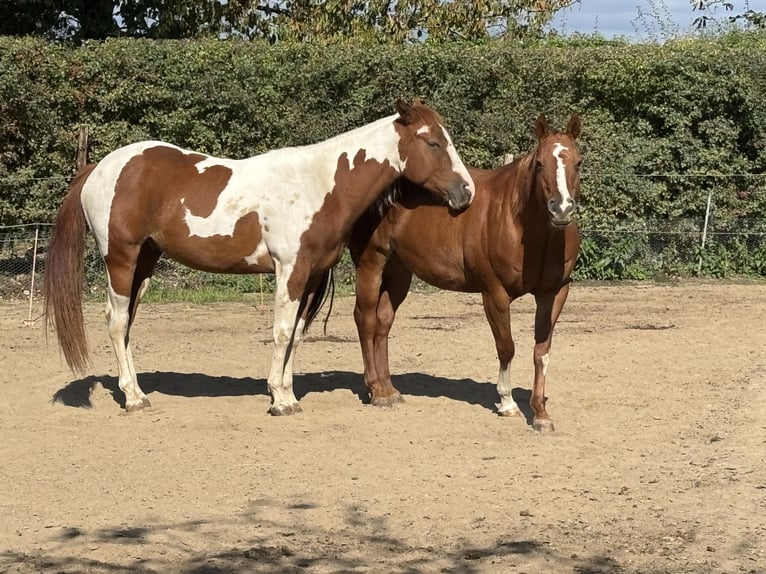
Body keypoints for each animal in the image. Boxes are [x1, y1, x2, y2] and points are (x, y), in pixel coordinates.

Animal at [44, 98, 475, 416]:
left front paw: (288, 394)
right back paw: (133, 398)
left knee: (127, 323)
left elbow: (296, 334)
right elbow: (281, 331)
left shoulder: (312, 274)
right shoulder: (290, 270)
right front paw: (280, 401)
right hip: (122, 258)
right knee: (117, 322)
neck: (319, 184)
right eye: (432, 143)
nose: (466, 192)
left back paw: (138, 390)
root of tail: (98, 167)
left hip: (145, 263)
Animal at [349, 114, 581, 431]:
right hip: (372, 263)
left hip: (399, 272)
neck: (519, 222)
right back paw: (375, 391)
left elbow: (541, 352)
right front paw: (507, 404)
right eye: (539, 164)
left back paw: (388, 389)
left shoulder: (554, 293)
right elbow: (506, 347)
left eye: (578, 162)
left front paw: (541, 414)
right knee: (366, 319)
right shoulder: (495, 293)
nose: (561, 209)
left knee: (383, 322)